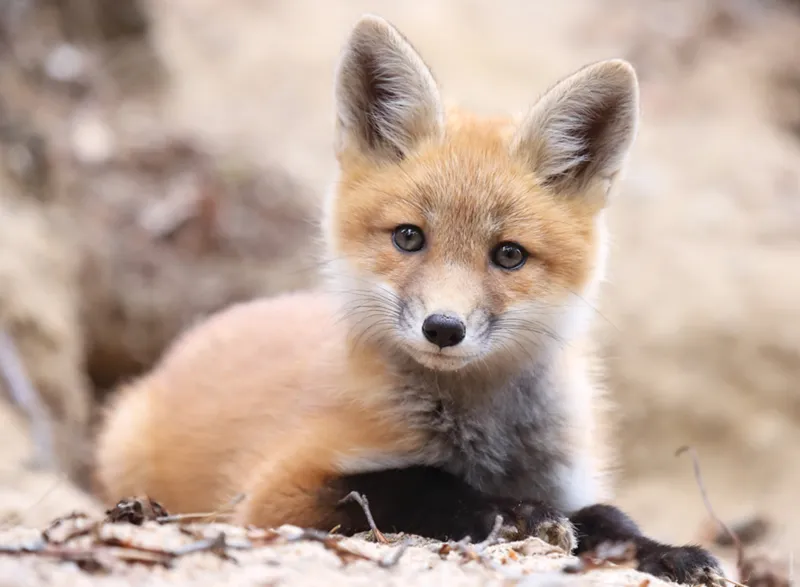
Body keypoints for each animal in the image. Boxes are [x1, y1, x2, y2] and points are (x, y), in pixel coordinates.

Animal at [93, 14, 724, 587]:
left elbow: (611, 517)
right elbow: (414, 483)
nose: (443, 328)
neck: (484, 441)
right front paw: (516, 513)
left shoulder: (569, 479)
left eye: (509, 255)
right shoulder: (274, 494)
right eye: (409, 237)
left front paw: (669, 552)